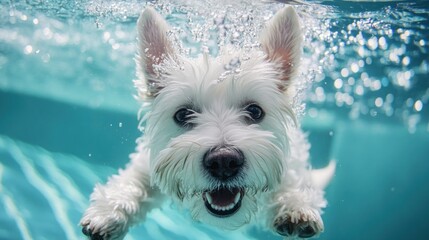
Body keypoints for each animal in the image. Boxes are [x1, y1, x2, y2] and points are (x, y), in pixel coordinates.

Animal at [79, 6, 334, 240]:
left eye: (255, 111)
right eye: (182, 115)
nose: (223, 161)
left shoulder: (292, 158)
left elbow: (292, 180)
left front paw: (295, 206)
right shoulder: (148, 161)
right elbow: (134, 181)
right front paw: (109, 211)